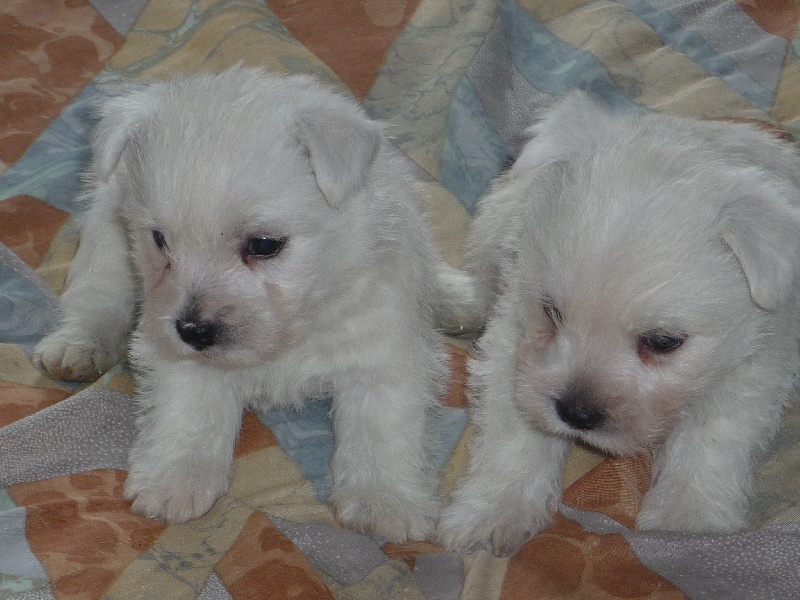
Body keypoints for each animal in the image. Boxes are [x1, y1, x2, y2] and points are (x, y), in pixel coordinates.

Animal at [36, 67, 476, 544]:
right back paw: (77, 347)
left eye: (264, 245)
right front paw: (175, 479)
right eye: (160, 240)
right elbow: (190, 408)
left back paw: (458, 297)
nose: (191, 331)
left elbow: (383, 426)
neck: (293, 330)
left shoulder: (383, 348)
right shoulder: (172, 339)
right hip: (108, 237)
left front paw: (385, 501)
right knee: (96, 296)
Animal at [438, 94, 800, 556]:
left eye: (663, 341)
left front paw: (688, 524)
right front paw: (493, 513)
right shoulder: (514, 344)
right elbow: (514, 436)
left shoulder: (753, 365)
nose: (576, 414)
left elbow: (712, 440)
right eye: (551, 311)